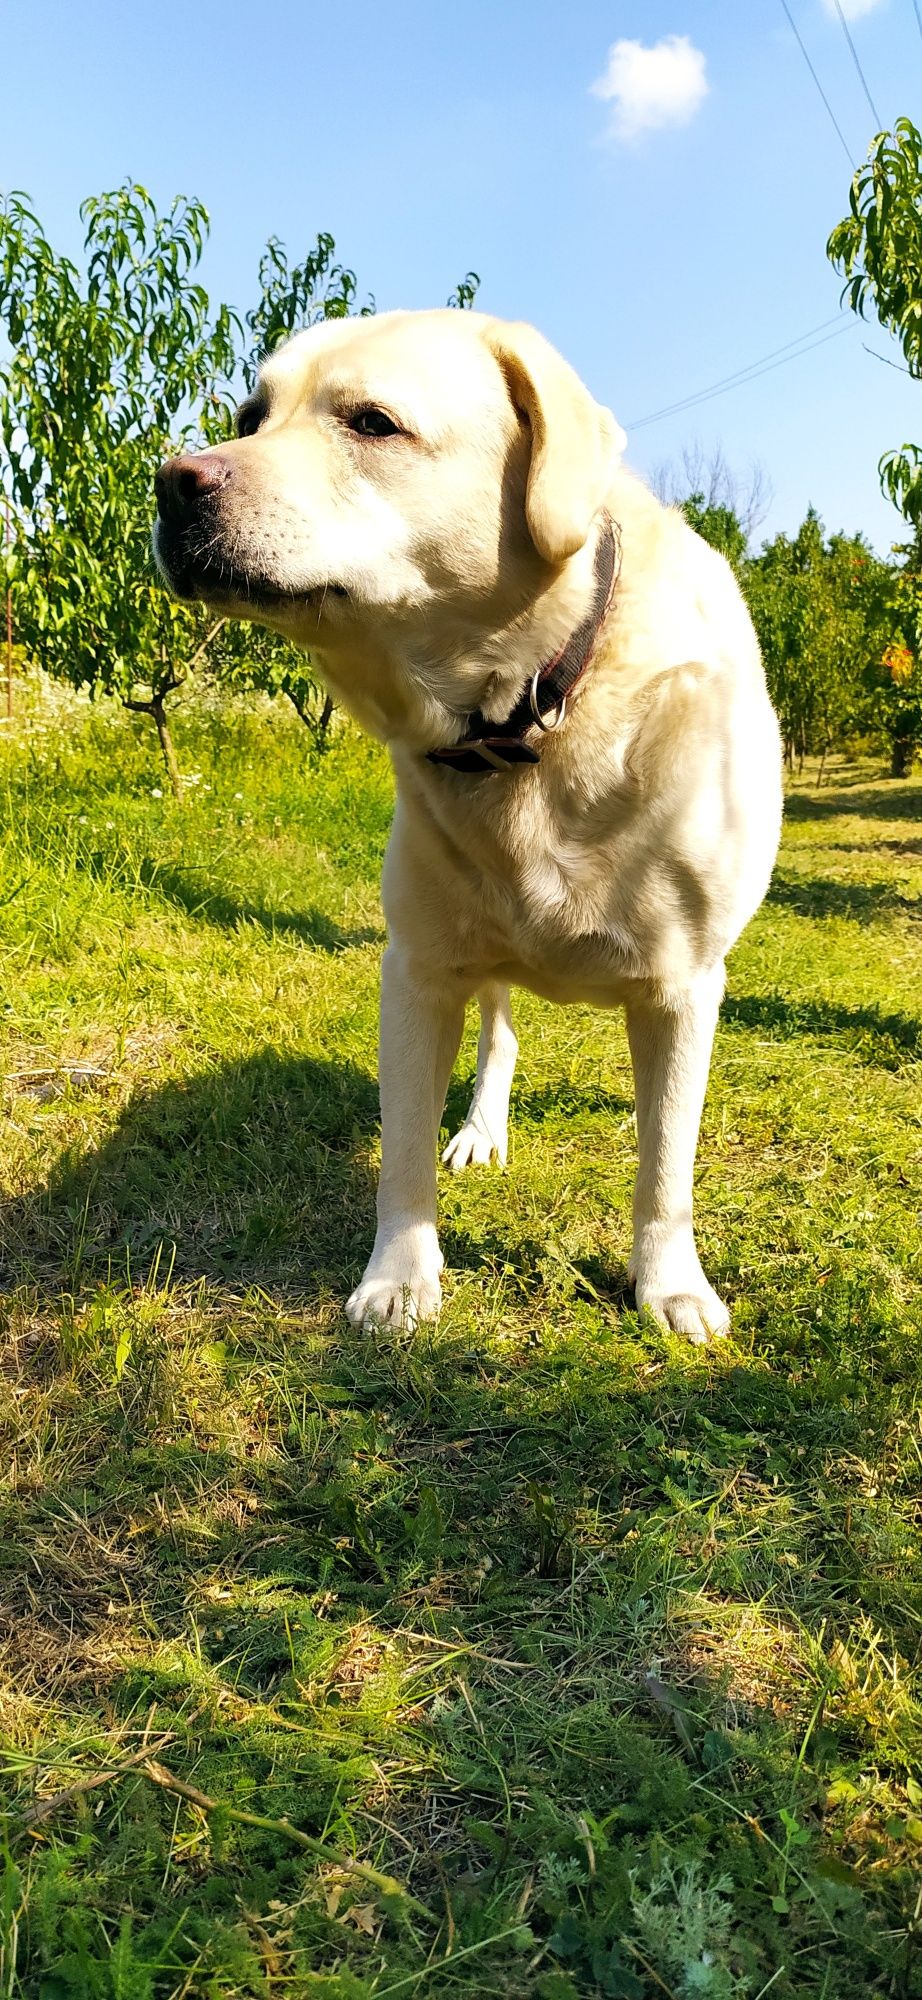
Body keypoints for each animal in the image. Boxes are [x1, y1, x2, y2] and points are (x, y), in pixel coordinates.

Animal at [155, 312, 780, 1344]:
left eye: (371, 421)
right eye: (251, 416)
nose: (171, 480)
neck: (533, 714)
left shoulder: (686, 985)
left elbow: (667, 1166)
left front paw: (670, 1285)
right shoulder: (417, 970)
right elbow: (403, 1147)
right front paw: (399, 1276)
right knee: (502, 1037)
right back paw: (483, 1127)